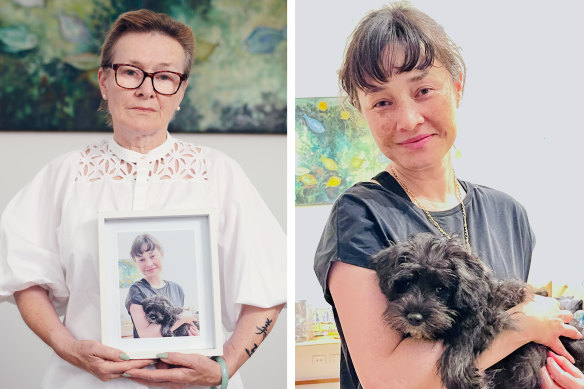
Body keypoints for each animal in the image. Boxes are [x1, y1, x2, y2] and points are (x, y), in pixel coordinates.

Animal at [372, 233, 580, 388]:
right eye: (406, 283)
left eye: (440, 288)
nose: (414, 317)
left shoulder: (499, 306)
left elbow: (470, 331)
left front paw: (465, 378)